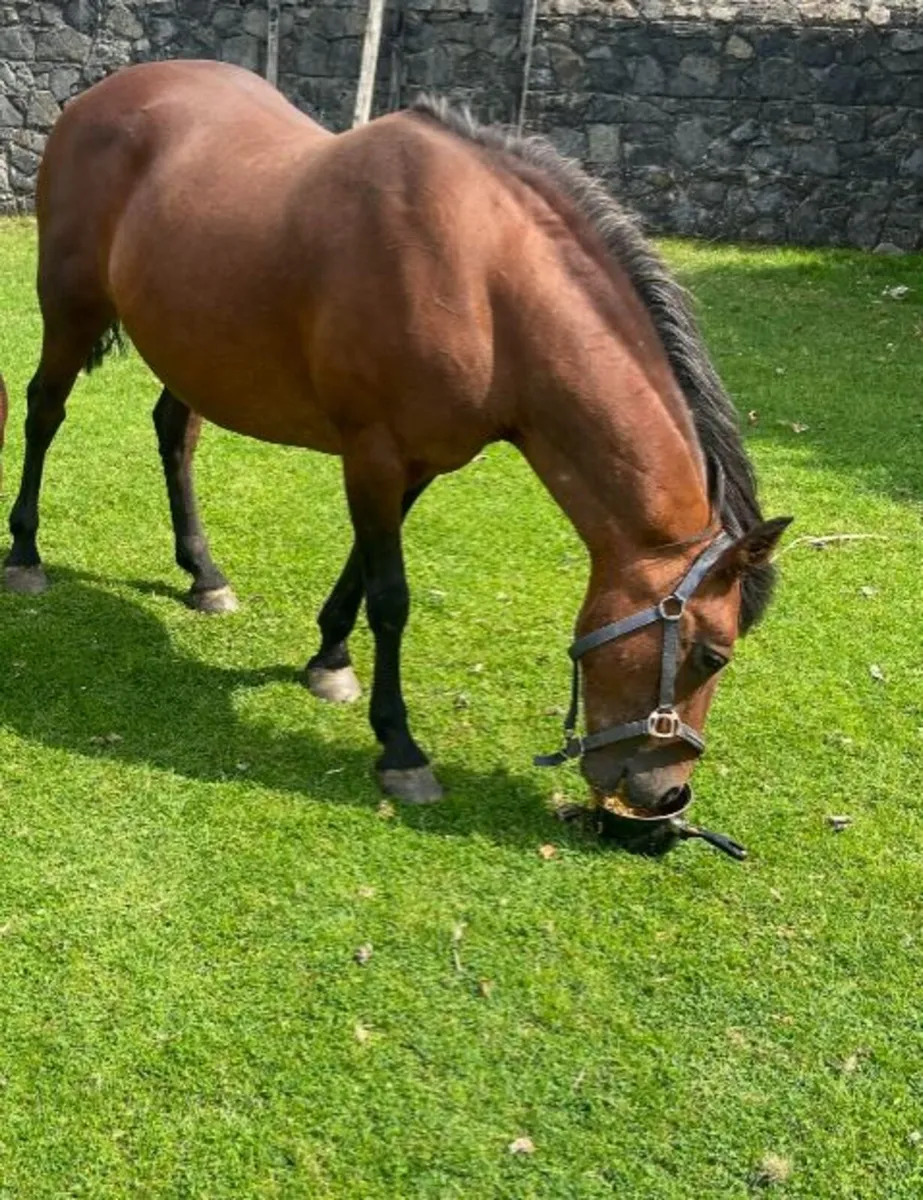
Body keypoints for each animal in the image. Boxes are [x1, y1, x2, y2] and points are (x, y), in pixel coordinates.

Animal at [2, 60, 790, 819]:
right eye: (712, 656)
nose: (666, 802)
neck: (483, 283)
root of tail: (97, 98)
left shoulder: (415, 464)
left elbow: (361, 567)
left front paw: (328, 658)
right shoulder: (375, 452)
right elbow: (390, 596)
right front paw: (400, 748)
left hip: (193, 348)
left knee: (175, 434)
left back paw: (204, 574)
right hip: (71, 309)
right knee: (43, 412)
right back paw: (26, 554)